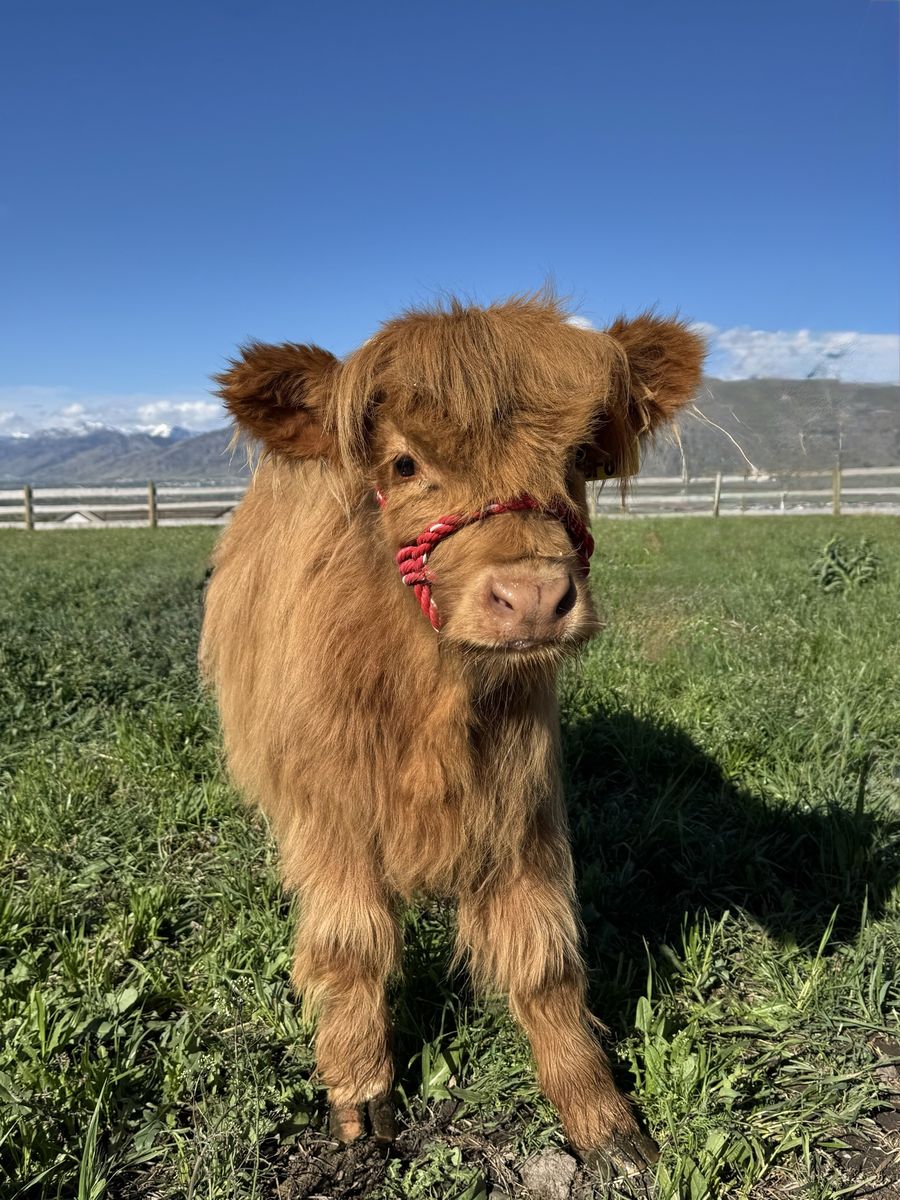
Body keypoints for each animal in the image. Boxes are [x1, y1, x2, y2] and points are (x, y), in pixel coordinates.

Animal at [200, 293, 704, 1179]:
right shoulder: (333, 820)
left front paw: (604, 1122)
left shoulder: (522, 809)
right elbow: (352, 947)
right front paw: (361, 1098)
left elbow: (545, 961)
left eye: (579, 455)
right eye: (404, 464)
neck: (429, 699)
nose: (534, 596)